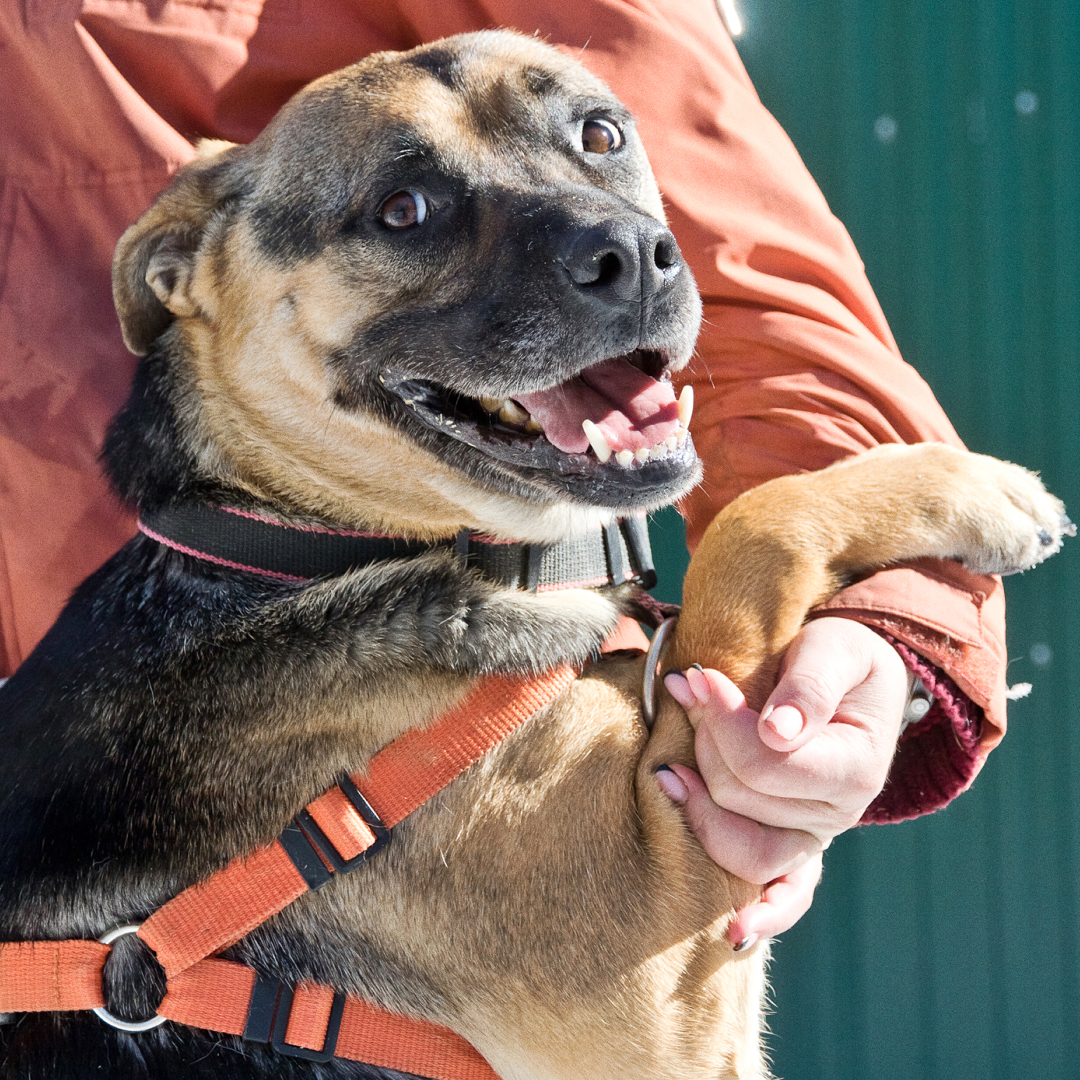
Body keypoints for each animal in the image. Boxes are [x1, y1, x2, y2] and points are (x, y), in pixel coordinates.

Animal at [0, 29, 1067, 1080]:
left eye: (600, 133)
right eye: (403, 210)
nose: (634, 257)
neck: (300, 543)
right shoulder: (652, 960)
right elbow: (751, 528)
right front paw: (976, 490)